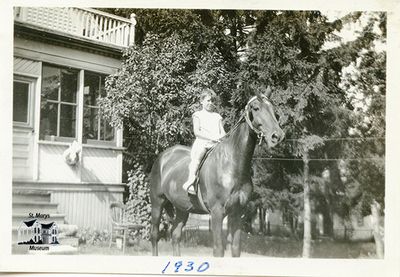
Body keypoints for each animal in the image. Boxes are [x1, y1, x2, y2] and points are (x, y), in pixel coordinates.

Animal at [149, 87, 284, 256]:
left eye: (272, 108)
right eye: (256, 108)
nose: (277, 136)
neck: (232, 166)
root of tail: (163, 156)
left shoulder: (237, 213)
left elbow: (235, 249)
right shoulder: (217, 213)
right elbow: (218, 249)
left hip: (182, 208)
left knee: (175, 235)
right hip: (157, 203)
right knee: (154, 236)